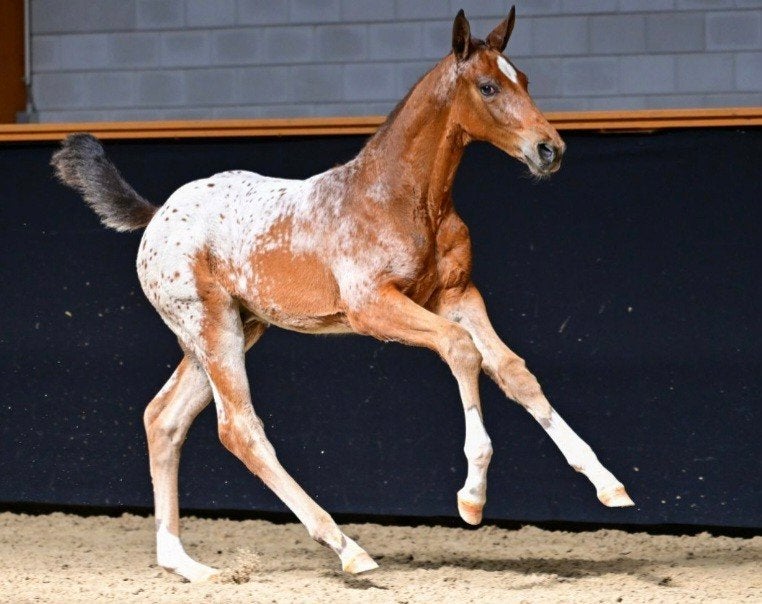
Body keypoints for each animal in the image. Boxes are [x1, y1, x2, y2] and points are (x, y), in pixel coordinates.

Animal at [51, 7, 633, 582]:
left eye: (526, 80)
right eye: (488, 86)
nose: (549, 150)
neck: (404, 198)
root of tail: (158, 216)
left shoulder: (456, 295)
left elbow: (513, 371)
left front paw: (609, 485)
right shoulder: (372, 306)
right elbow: (460, 350)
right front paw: (471, 498)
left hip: (235, 329)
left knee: (164, 419)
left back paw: (186, 563)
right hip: (210, 328)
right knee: (239, 429)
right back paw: (347, 548)